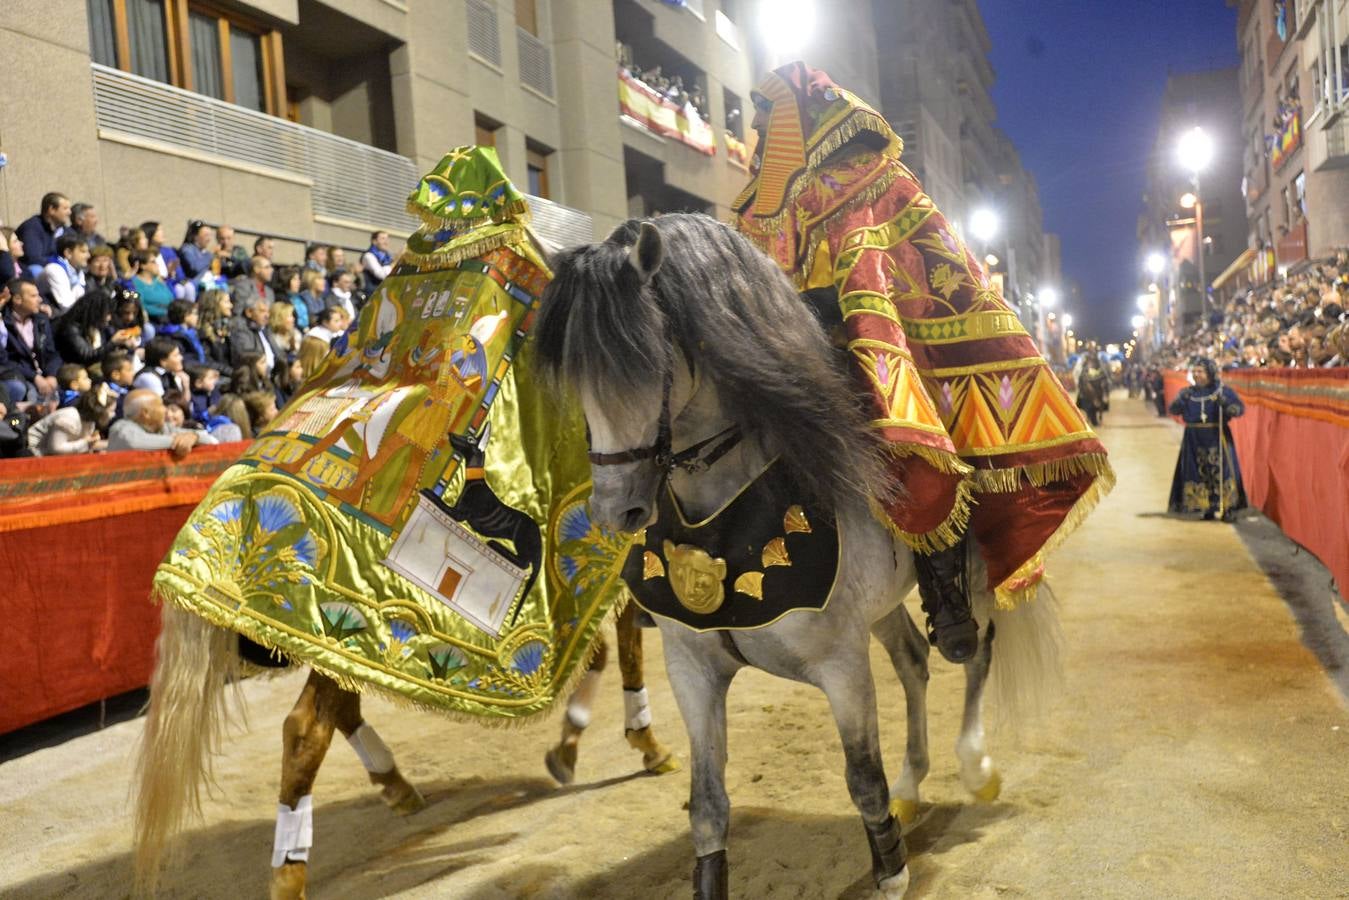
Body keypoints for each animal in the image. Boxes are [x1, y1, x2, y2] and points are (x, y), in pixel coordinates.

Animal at [531, 215, 1057, 900]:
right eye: (573, 378)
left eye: (647, 364)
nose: (615, 510)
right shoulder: (692, 669)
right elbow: (708, 806)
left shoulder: (841, 665)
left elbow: (863, 783)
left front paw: (891, 873)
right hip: (878, 609)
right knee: (913, 663)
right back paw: (914, 784)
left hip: (974, 580)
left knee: (975, 654)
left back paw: (974, 765)